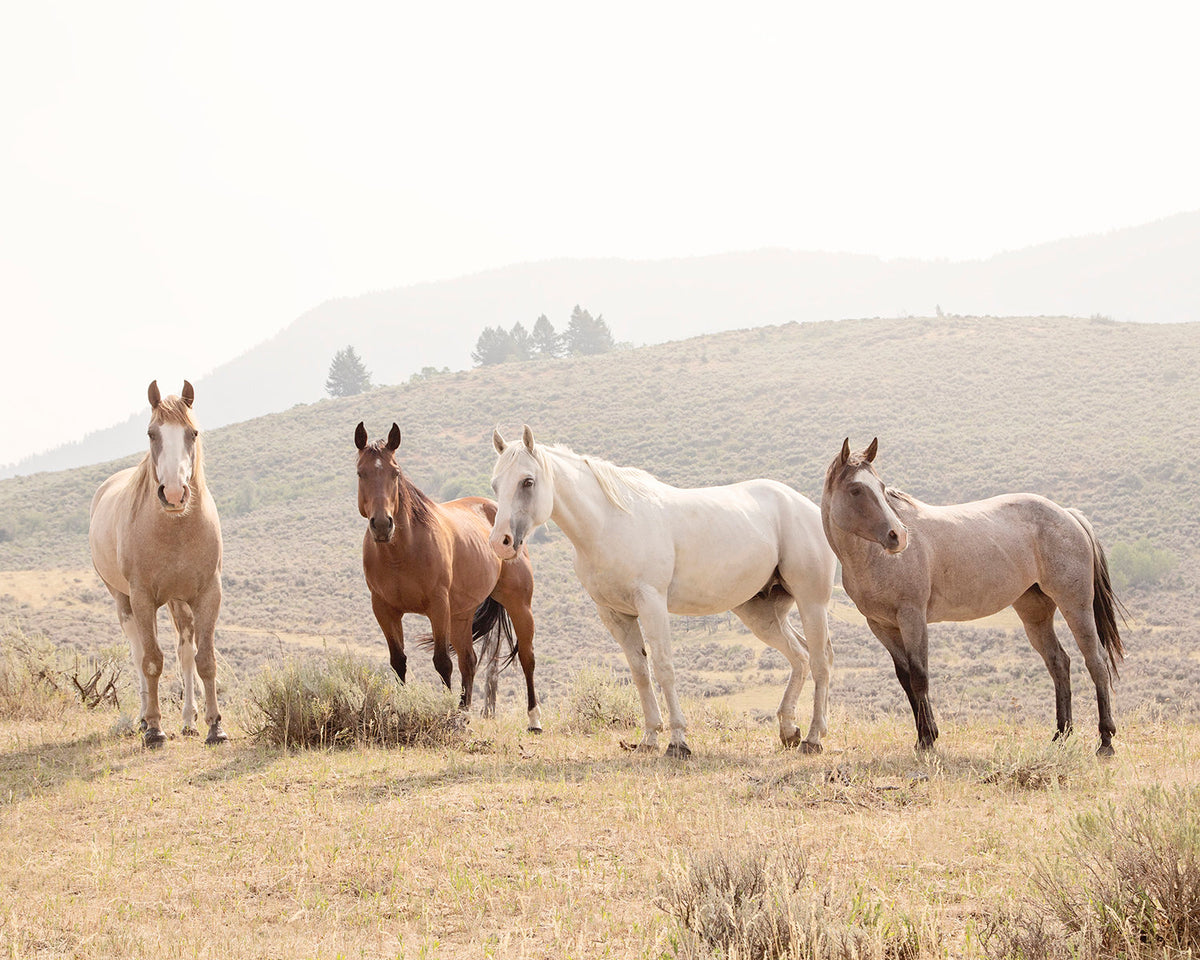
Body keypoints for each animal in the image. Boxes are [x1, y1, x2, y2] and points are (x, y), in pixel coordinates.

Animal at [88, 379, 226, 744]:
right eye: (152, 433)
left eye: (193, 432)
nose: (174, 493)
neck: (175, 530)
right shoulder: (142, 598)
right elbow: (151, 661)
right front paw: (154, 729)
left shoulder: (208, 594)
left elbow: (204, 660)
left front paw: (215, 727)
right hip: (123, 601)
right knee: (138, 653)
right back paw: (142, 719)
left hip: (180, 603)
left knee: (185, 653)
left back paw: (190, 721)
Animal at [352, 420, 542, 729]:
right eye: (361, 472)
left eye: (395, 472)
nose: (382, 524)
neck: (400, 553)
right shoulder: (384, 609)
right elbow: (398, 661)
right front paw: (402, 713)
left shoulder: (437, 607)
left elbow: (442, 662)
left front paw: (442, 715)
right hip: (461, 614)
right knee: (470, 660)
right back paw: (463, 715)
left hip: (518, 604)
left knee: (527, 657)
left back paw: (534, 720)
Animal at [487, 427, 835, 758]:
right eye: (495, 485)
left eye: (527, 481)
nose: (500, 542)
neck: (610, 524)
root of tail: (808, 508)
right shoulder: (615, 614)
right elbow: (640, 671)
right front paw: (649, 738)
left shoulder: (652, 604)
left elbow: (664, 667)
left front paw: (678, 741)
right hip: (760, 613)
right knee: (800, 656)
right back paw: (789, 731)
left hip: (811, 603)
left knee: (820, 661)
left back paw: (813, 738)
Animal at [825, 436, 1123, 758]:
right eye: (856, 489)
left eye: (881, 487)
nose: (898, 537)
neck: (873, 558)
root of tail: (1068, 515)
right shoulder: (882, 625)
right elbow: (905, 678)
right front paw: (922, 738)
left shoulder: (912, 618)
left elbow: (919, 675)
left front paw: (929, 740)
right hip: (1035, 613)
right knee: (1059, 662)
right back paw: (1060, 736)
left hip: (1075, 605)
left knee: (1095, 660)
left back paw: (1105, 741)